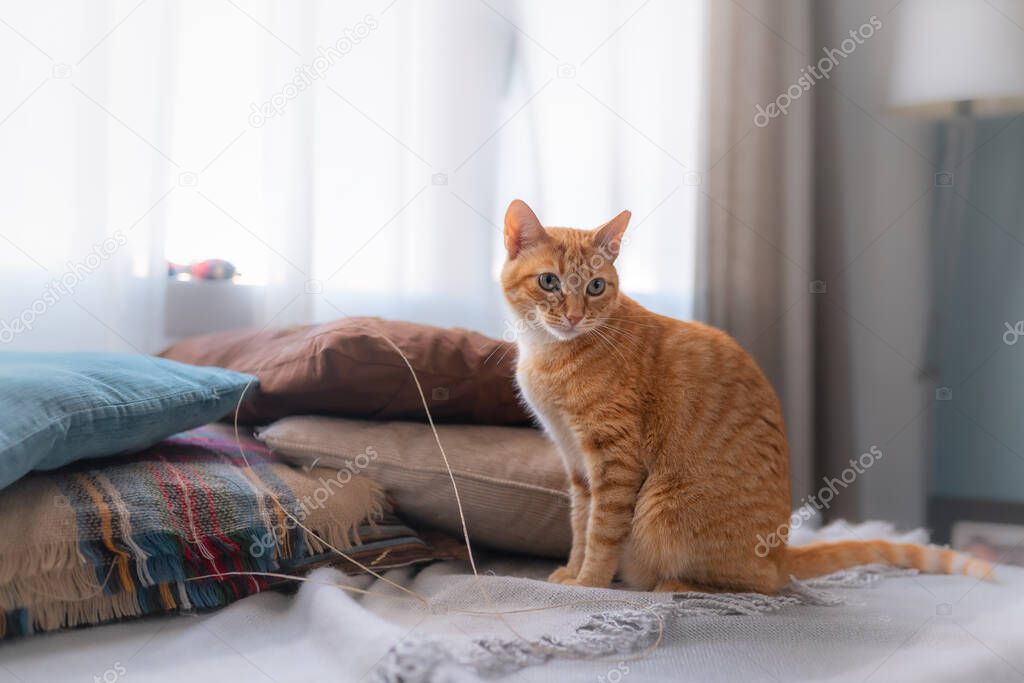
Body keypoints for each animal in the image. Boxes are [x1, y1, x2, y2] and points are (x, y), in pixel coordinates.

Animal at [499, 198, 987, 593]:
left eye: (596, 287)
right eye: (549, 282)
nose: (574, 316)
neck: (549, 354)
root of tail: (782, 551)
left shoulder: (614, 461)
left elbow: (602, 532)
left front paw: (589, 584)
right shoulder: (577, 464)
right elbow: (580, 525)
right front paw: (571, 571)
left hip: (662, 511)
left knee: (760, 586)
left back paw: (674, 585)